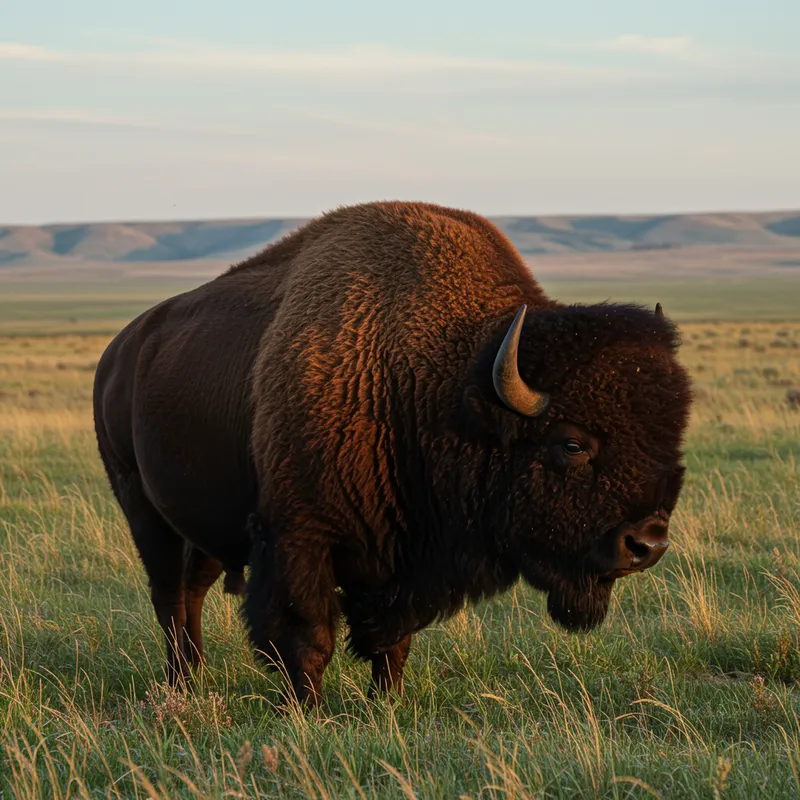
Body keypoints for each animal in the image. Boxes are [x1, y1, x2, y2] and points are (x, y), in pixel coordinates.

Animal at [93, 201, 692, 705]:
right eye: (571, 443)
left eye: (672, 437)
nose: (647, 544)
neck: (438, 382)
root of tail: (119, 351)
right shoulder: (298, 538)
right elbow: (306, 634)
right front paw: (306, 712)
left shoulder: (401, 560)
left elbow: (393, 641)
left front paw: (387, 702)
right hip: (141, 507)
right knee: (169, 595)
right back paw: (180, 683)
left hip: (203, 527)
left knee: (190, 590)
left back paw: (192, 677)